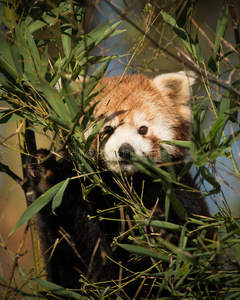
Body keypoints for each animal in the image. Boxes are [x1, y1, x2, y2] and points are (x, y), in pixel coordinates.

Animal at [26, 71, 210, 298]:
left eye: (143, 129)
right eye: (107, 129)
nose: (125, 150)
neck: (124, 184)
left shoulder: (175, 190)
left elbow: (194, 244)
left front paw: (164, 233)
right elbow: (85, 248)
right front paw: (46, 174)